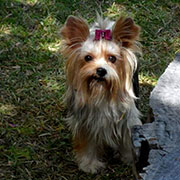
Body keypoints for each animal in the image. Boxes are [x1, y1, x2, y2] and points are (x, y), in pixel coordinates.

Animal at [60, 13, 142, 174]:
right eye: (87, 58)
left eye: (112, 58)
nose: (101, 70)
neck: (101, 91)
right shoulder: (85, 123)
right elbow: (88, 143)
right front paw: (89, 164)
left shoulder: (127, 120)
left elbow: (127, 139)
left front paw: (130, 158)